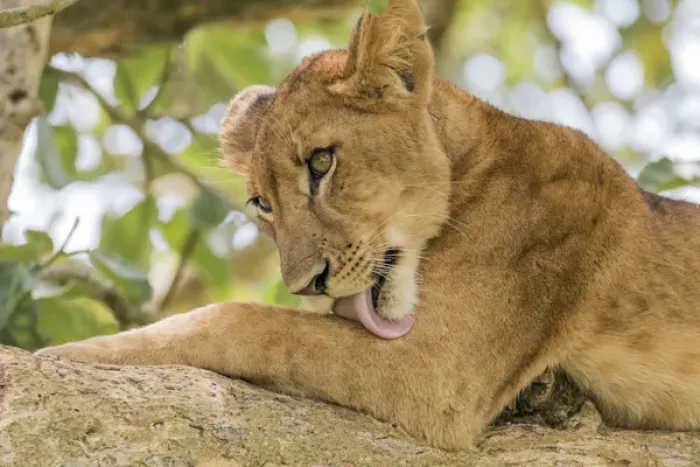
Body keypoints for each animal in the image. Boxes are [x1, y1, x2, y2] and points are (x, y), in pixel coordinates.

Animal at [36, 0, 700, 450]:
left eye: (321, 163)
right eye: (262, 204)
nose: (306, 284)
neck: (472, 164)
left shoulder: (439, 373)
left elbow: (243, 322)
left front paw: (70, 352)